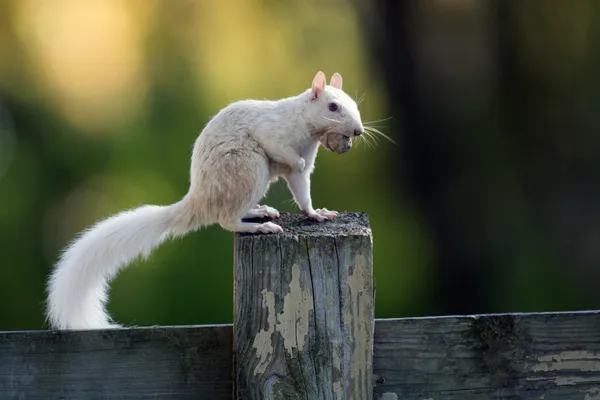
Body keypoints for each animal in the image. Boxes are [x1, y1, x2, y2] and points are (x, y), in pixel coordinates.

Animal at [44, 70, 364, 330]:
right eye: (333, 106)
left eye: (355, 104)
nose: (358, 131)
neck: (306, 127)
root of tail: (200, 201)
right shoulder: (273, 131)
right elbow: (282, 151)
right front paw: (295, 162)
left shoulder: (304, 168)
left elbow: (302, 191)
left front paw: (316, 214)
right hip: (248, 167)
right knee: (226, 220)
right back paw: (257, 226)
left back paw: (259, 211)